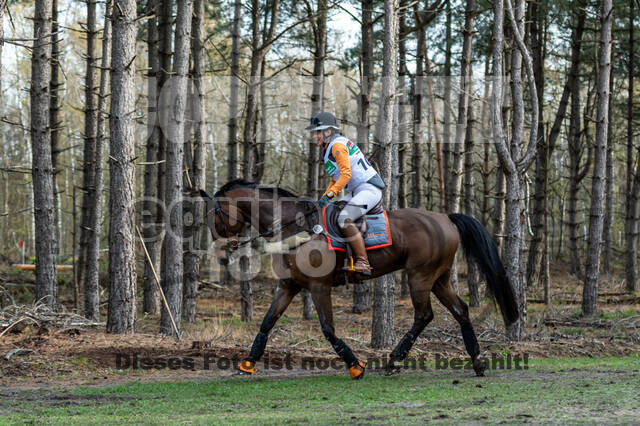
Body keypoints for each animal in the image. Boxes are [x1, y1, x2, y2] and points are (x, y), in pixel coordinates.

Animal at [201, 178, 520, 378]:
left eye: (215, 215)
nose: (221, 255)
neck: (294, 228)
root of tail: (446, 217)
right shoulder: (288, 286)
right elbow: (267, 323)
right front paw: (247, 363)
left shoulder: (319, 287)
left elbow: (328, 330)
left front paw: (355, 365)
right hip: (439, 278)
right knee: (460, 310)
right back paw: (477, 361)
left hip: (419, 276)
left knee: (424, 315)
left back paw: (394, 360)